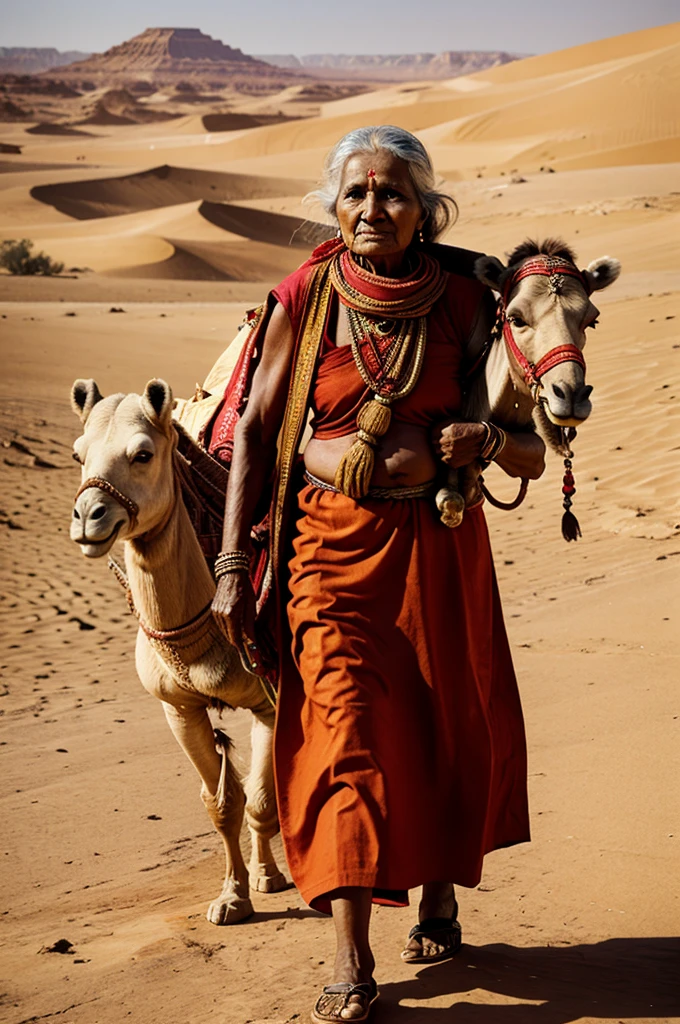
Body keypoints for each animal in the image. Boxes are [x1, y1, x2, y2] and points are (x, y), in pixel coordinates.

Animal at [70, 378, 288, 929]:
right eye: (78, 454)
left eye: (143, 454)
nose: (88, 517)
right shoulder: (179, 709)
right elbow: (223, 805)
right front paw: (234, 896)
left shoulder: (270, 702)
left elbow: (260, 800)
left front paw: (265, 879)